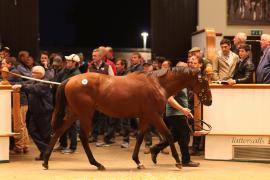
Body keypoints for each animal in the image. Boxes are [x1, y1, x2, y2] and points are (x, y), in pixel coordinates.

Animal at [42, 66, 212, 170]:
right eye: (204, 81)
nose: (209, 101)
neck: (158, 84)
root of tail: (70, 80)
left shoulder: (145, 117)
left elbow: (140, 137)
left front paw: (138, 161)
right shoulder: (155, 116)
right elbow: (169, 135)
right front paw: (178, 162)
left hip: (75, 114)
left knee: (58, 132)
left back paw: (46, 162)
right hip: (85, 114)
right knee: (82, 136)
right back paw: (97, 164)